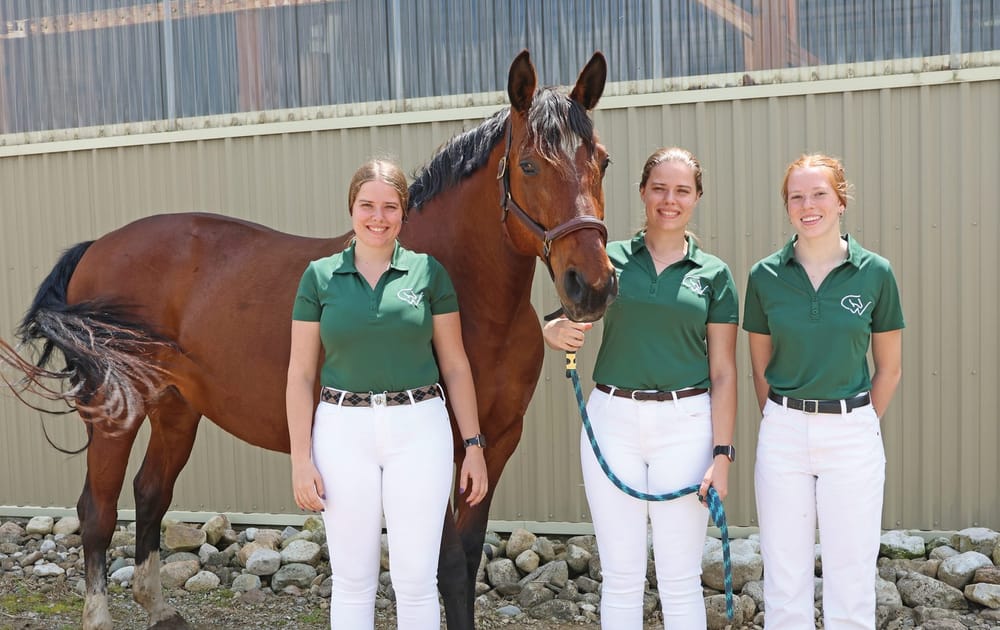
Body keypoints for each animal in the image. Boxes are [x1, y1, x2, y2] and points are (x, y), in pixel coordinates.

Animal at [0, 50, 616, 630]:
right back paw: (100, 615)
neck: (471, 299)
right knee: (97, 509)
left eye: (603, 161)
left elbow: (463, 559)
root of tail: (98, 246)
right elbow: (447, 566)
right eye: (529, 165)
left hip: (175, 409)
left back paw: (159, 608)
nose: (591, 286)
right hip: (113, 414)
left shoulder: (492, 447)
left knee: (151, 495)